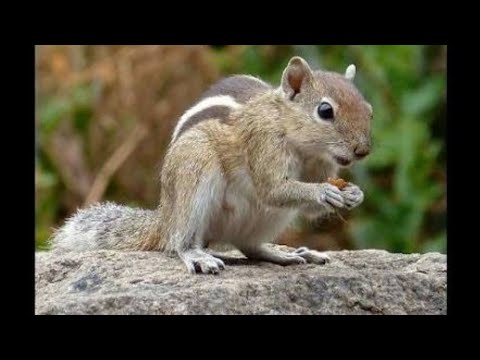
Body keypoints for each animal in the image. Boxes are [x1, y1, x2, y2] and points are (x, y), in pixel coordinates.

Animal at [50, 55, 374, 272]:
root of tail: (164, 216)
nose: (363, 150)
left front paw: (355, 194)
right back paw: (196, 256)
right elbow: (272, 189)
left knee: (250, 247)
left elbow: (307, 208)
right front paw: (323, 191)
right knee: (179, 241)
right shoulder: (263, 145)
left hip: (269, 219)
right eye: (325, 111)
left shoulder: (321, 165)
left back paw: (286, 254)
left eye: (369, 110)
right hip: (195, 172)